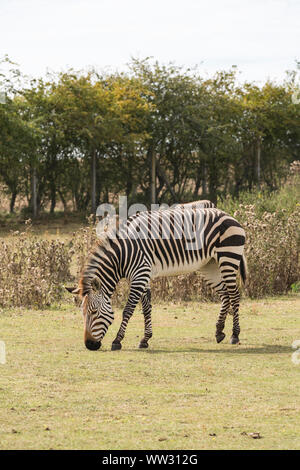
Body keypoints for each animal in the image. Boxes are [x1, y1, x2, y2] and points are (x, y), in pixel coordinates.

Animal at [67, 205, 247, 348]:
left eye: (94, 312)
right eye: (83, 313)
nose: (89, 345)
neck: (123, 254)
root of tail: (229, 215)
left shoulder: (140, 275)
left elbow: (128, 310)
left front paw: (117, 341)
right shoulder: (142, 276)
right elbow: (146, 308)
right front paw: (145, 339)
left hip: (228, 257)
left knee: (234, 295)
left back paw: (234, 335)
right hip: (209, 266)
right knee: (225, 294)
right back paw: (219, 332)